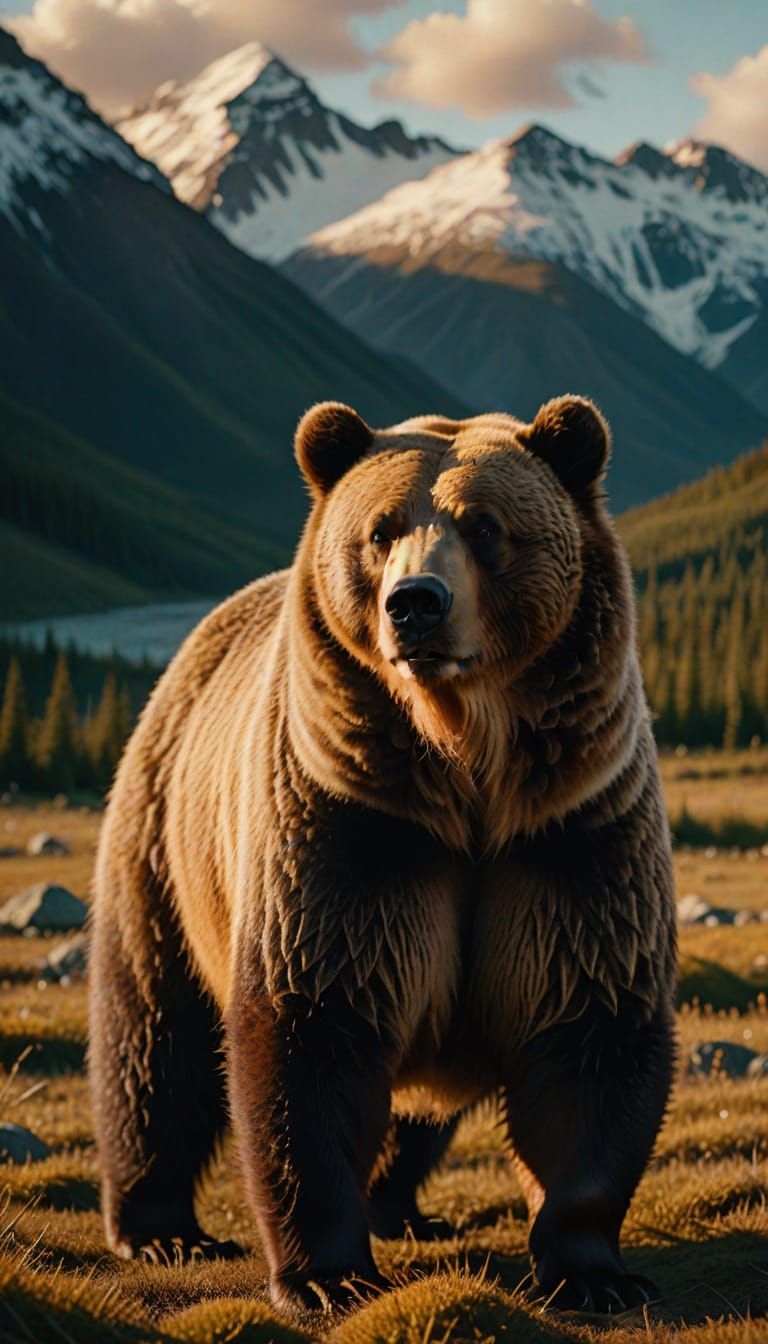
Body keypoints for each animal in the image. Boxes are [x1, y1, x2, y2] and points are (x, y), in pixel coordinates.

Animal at [89, 395, 677, 1316]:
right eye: (380, 529)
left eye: (485, 526)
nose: (416, 603)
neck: (467, 767)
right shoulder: (351, 829)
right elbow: (315, 1027)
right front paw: (326, 1276)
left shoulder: (572, 832)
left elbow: (588, 1024)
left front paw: (593, 1271)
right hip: (164, 841)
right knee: (154, 1036)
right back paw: (162, 1229)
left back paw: (405, 1210)